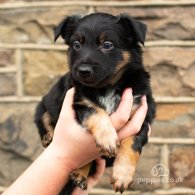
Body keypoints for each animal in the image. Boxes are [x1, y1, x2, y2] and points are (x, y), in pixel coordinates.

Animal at [34, 12, 155, 194]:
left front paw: (122, 175)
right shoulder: (79, 101)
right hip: (44, 106)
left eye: (107, 45)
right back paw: (49, 138)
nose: (83, 71)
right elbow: (96, 111)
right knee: (44, 121)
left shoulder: (141, 114)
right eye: (76, 45)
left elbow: (133, 143)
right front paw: (108, 138)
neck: (106, 87)